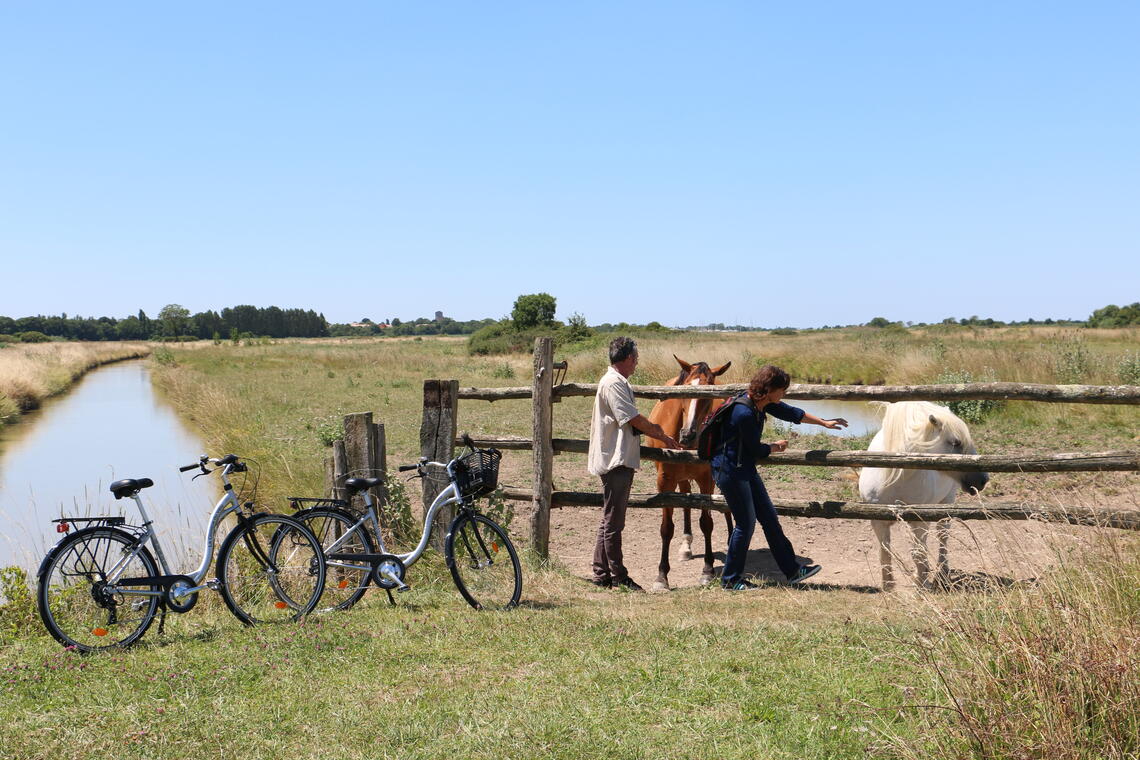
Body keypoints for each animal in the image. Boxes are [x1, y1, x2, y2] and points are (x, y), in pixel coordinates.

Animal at [647, 353, 734, 592]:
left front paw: (707, 570)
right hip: (681, 479)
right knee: (685, 501)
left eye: (709, 391)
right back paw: (686, 545)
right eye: (685, 388)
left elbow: (707, 523)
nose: (688, 434)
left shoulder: (706, 479)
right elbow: (666, 528)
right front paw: (661, 577)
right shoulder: (664, 481)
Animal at [857, 401, 984, 592]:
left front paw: (922, 584)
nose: (983, 480)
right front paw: (888, 586)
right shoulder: (878, 521)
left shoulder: (918, 519)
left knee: (942, 536)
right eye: (956, 442)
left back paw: (941, 573)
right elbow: (885, 552)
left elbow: (917, 552)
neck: (894, 477)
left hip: (945, 502)